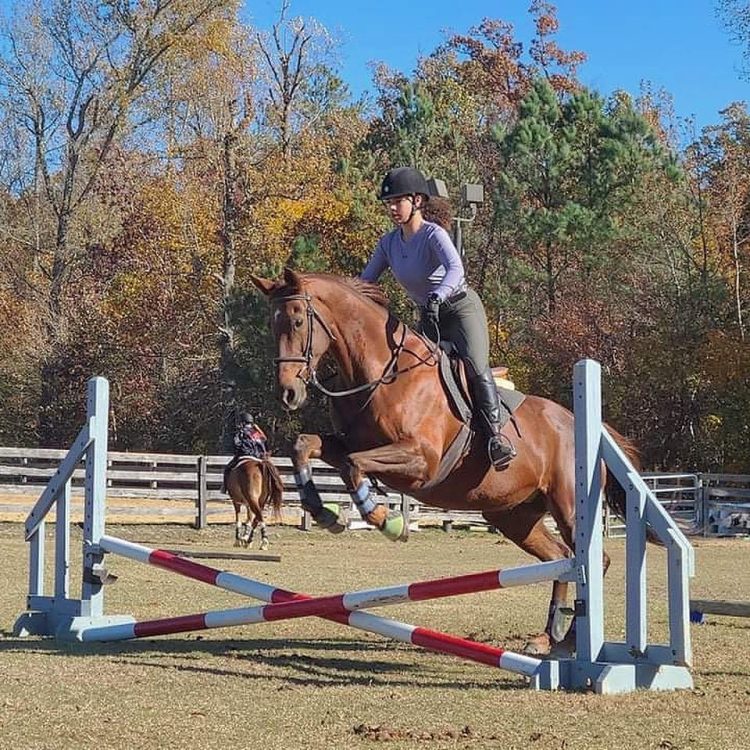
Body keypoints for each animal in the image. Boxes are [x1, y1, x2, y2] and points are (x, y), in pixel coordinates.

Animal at [253, 268, 640, 656]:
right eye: (271, 325)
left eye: (298, 321)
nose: (288, 394)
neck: (381, 372)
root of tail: (582, 423)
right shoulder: (346, 444)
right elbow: (306, 446)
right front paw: (323, 511)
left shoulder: (421, 461)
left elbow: (352, 465)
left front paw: (386, 520)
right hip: (514, 516)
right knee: (559, 558)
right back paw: (546, 637)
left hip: (567, 507)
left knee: (593, 559)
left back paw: (573, 638)